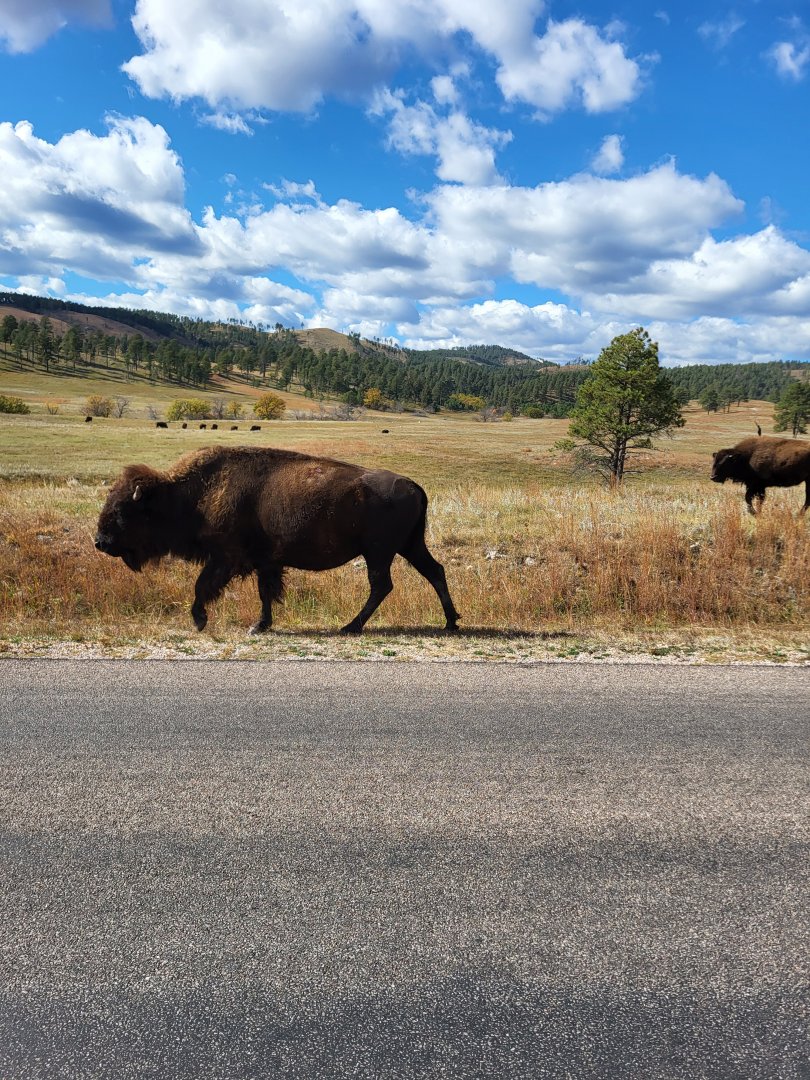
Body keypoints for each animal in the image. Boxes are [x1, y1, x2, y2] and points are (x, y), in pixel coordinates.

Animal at [95, 446, 460, 635]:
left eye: (124, 510)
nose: (100, 541)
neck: (190, 493)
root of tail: (414, 485)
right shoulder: (264, 561)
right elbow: (265, 592)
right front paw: (261, 625)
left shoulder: (226, 557)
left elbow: (202, 585)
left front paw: (200, 620)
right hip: (409, 546)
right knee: (434, 572)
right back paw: (450, 622)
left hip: (379, 552)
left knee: (382, 585)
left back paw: (350, 627)